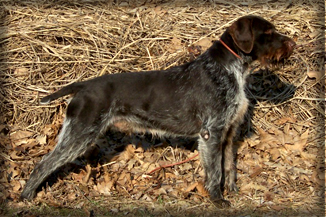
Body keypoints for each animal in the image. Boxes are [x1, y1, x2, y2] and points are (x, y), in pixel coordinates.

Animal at [19, 14, 296, 205]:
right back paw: (26, 197)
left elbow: (228, 167)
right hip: (79, 135)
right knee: (42, 165)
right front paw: (217, 200)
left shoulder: (228, 132)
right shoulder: (211, 133)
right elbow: (214, 171)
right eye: (268, 32)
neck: (231, 69)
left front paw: (233, 192)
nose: (293, 44)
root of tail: (83, 85)